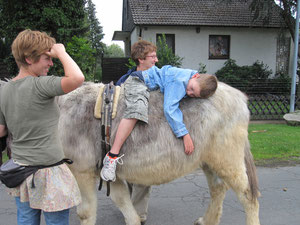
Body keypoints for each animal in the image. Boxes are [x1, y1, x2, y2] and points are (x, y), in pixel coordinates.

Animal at [56, 81, 260, 225]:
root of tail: (239, 96)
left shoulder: (82, 171)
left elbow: (85, 213)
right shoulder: (107, 173)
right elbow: (123, 201)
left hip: (228, 159)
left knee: (248, 196)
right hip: (209, 161)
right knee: (218, 188)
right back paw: (207, 221)